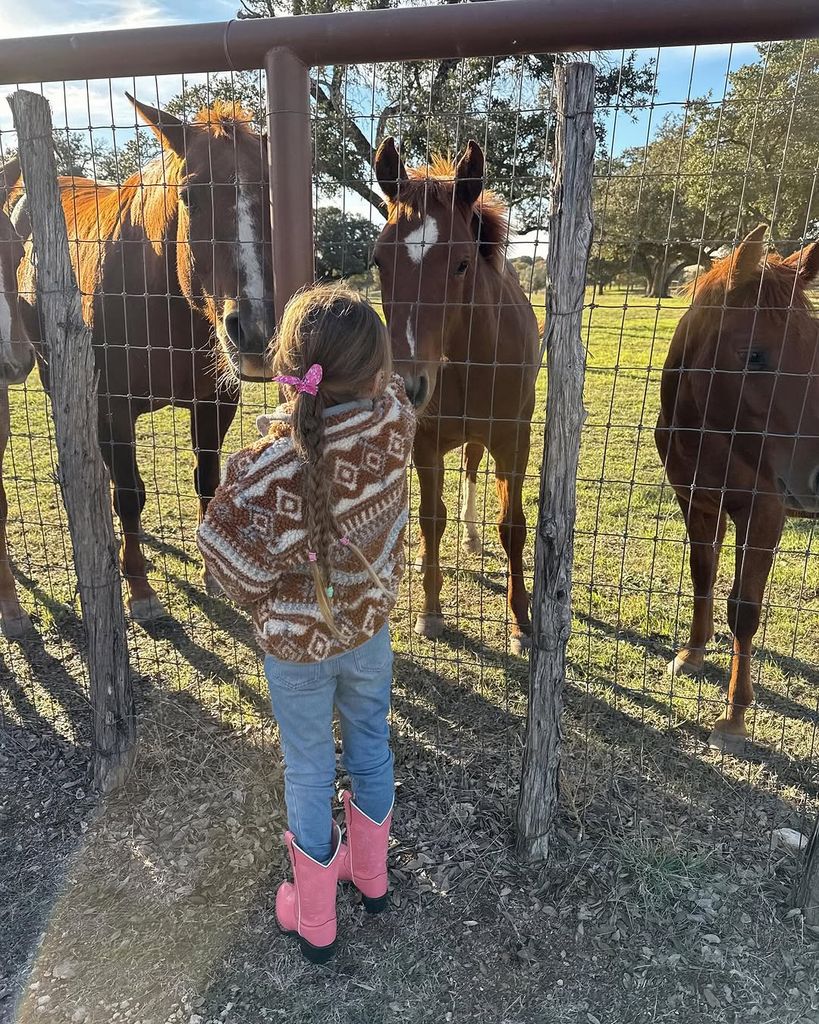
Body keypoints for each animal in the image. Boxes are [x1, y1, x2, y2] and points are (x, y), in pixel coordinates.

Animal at [15, 99, 274, 618]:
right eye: (190, 196)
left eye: (270, 193)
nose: (253, 329)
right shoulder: (112, 407)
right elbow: (130, 495)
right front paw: (138, 588)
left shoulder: (215, 402)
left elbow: (207, 478)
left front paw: (211, 571)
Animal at [370, 136, 536, 651]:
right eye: (378, 261)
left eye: (462, 262)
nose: (407, 385)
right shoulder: (425, 444)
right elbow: (430, 519)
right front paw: (430, 611)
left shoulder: (514, 441)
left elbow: (512, 526)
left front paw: (521, 624)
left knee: (473, 468)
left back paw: (472, 538)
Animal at [655, 226, 818, 753]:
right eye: (754, 354)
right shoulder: (697, 502)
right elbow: (702, 574)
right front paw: (692, 653)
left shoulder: (764, 514)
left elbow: (745, 609)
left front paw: (734, 715)